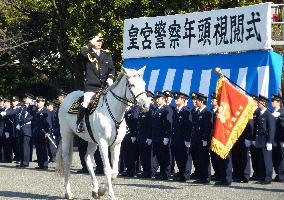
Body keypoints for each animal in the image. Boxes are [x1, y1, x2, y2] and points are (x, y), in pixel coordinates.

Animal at [55, 66, 149, 199]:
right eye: (132, 84)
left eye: (144, 84)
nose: (146, 105)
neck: (113, 112)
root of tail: (67, 98)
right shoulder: (103, 143)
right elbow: (107, 169)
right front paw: (110, 194)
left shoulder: (116, 144)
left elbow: (115, 171)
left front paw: (101, 191)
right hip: (67, 135)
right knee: (67, 160)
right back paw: (68, 192)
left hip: (92, 140)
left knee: (88, 159)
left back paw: (95, 189)